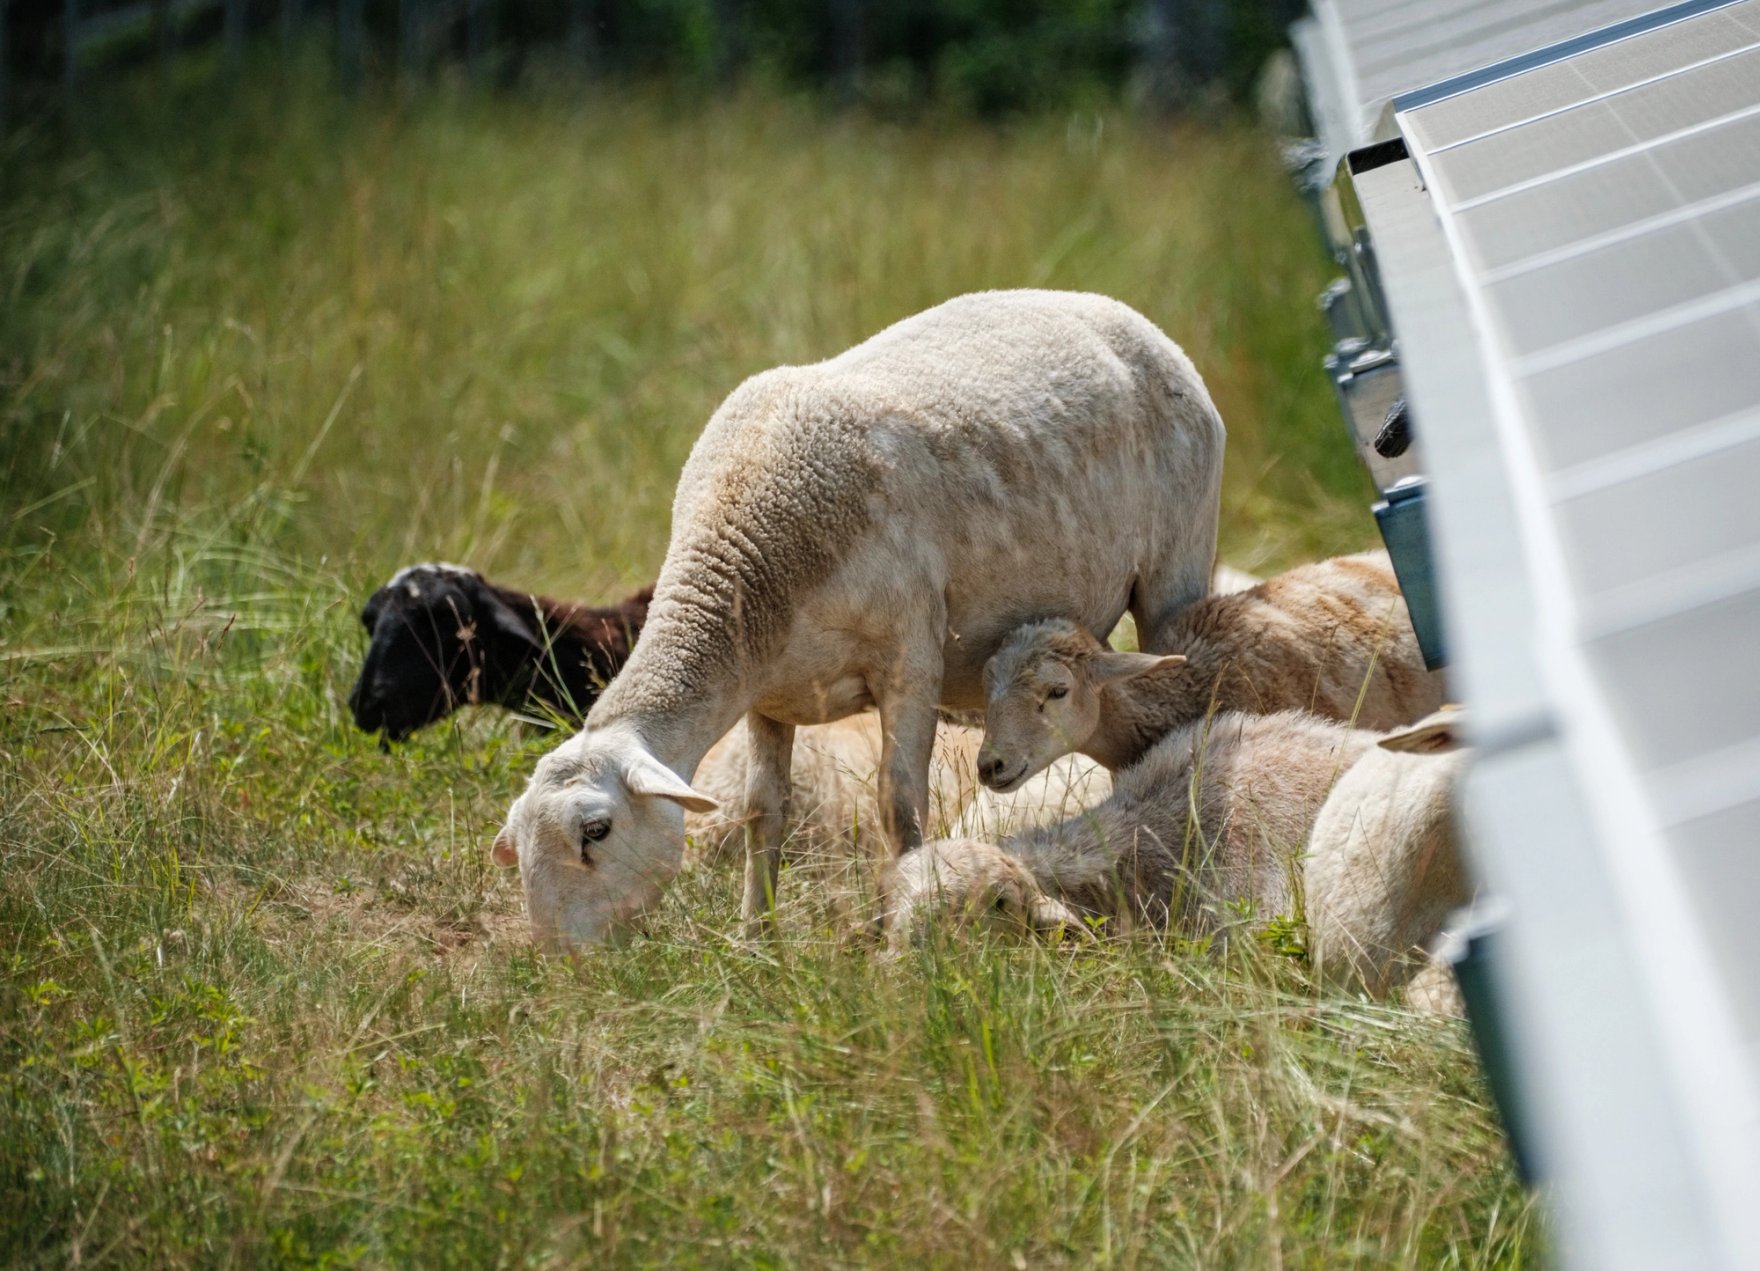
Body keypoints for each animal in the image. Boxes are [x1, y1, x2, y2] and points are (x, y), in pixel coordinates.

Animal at [491, 290, 1227, 949]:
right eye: (519, 845)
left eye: (596, 831)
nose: (563, 962)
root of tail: (1126, 315)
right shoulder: (770, 693)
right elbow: (763, 810)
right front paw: (755, 938)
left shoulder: (910, 657)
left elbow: (898, 808)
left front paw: (893, 922)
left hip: (1176, 567)